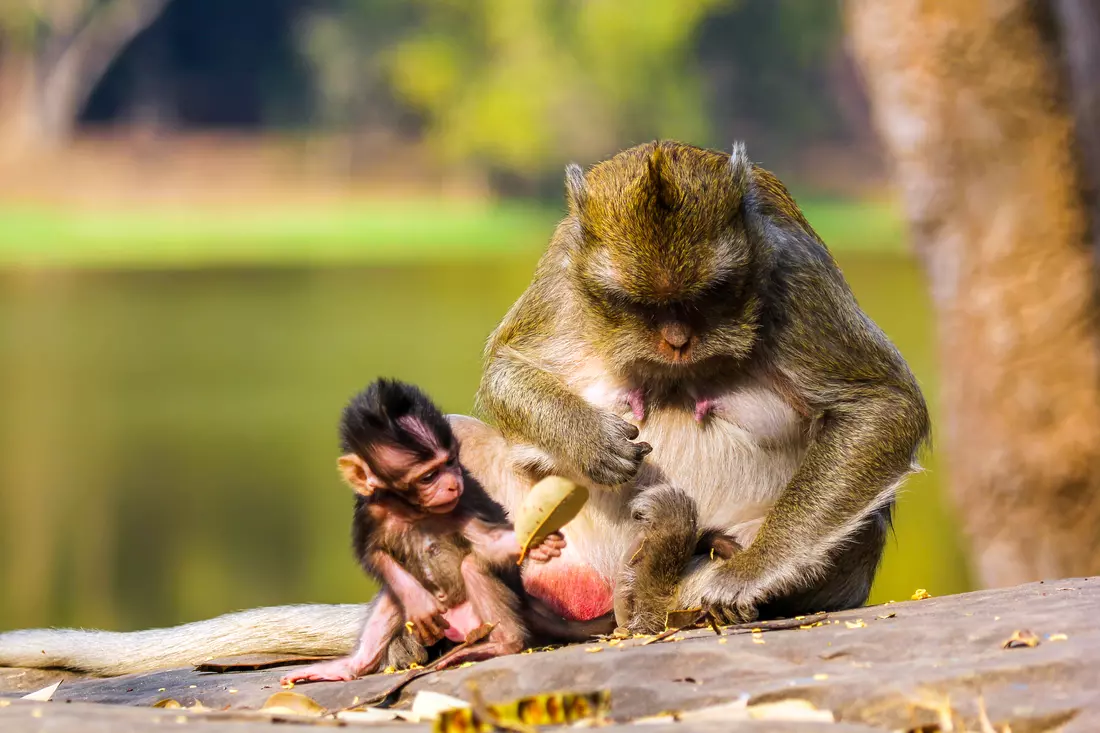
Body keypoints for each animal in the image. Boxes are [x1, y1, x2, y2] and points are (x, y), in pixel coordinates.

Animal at [283, 378, 594, 682]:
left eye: (451, 462)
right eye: (429, 476)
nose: (452, 484)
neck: (414, 510)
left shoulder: (464, 502)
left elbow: (489, 543)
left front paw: (538, 544)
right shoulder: (370, 510)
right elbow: (376, 554)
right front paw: (417, 600)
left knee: (472, 567)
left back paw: (504, 644)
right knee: (394, 591)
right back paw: (355, 665)